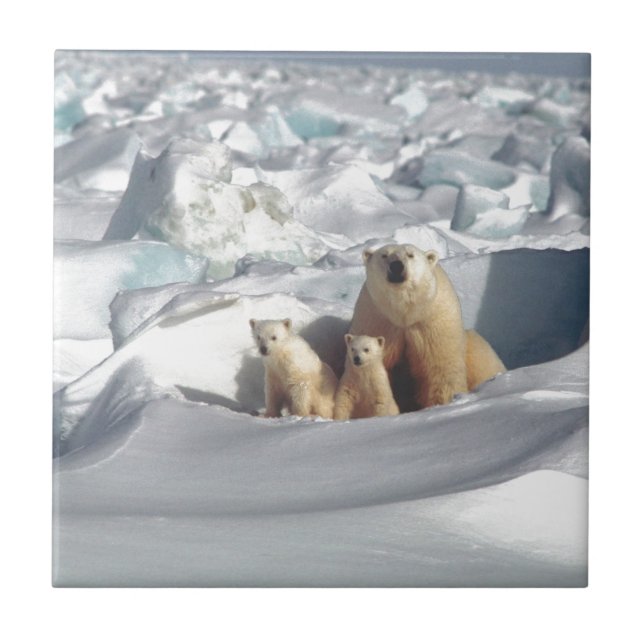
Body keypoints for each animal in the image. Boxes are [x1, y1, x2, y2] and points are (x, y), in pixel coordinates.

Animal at [349, 243, 505, 410]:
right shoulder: (377, 320)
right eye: (384, 255)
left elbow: (440, 368)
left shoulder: (433, 322)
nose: (396, 266)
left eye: (410, 255)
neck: (404, 313)